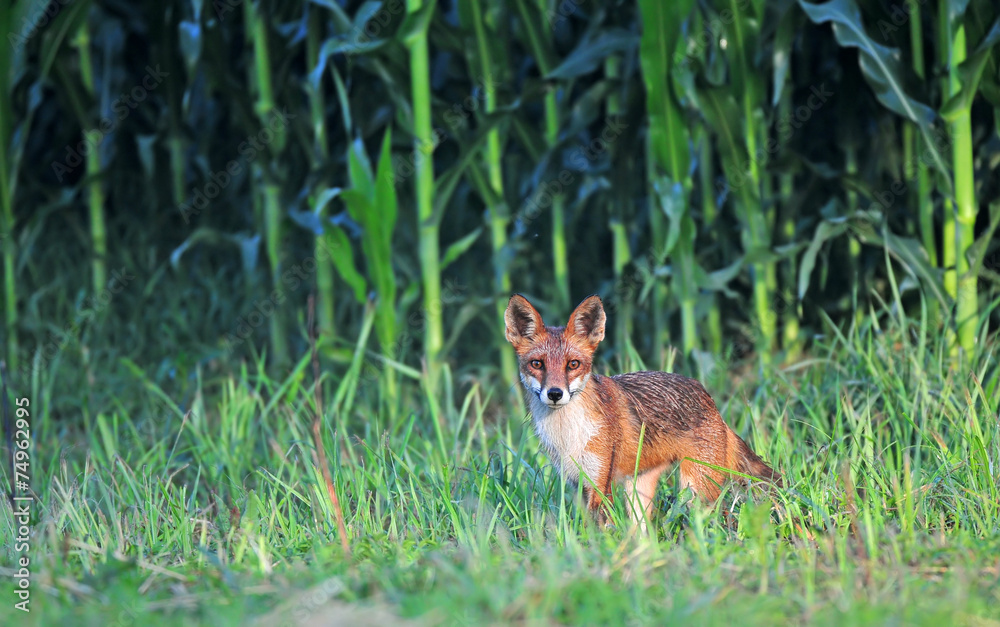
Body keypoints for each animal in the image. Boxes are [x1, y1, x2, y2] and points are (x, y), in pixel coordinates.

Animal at [504, 293, 781, 528]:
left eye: (573, 364)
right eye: (537, 364)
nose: (554, 393)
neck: (568, 436)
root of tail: (708, 398)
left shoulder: (600, 483)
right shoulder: (575, 483)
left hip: (697, 490)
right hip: (638, 492)